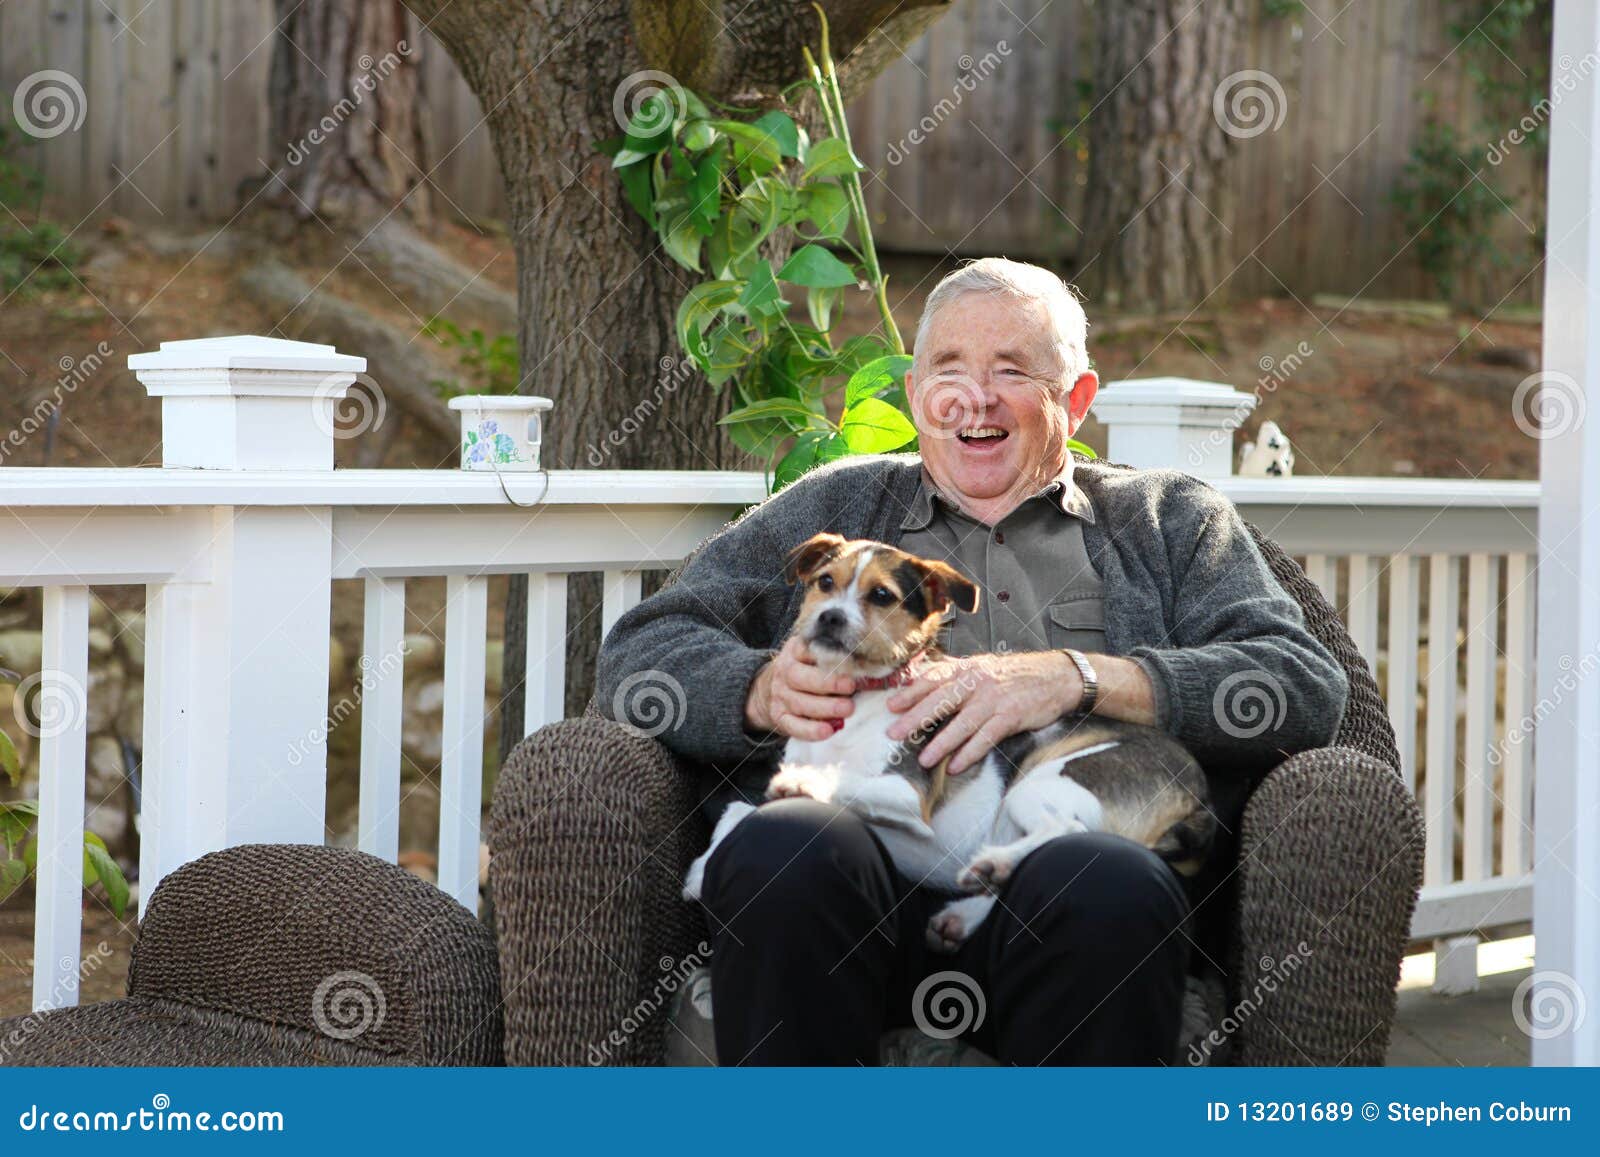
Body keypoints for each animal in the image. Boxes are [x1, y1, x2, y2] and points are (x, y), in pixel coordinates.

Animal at [681, 534, 1216, 947]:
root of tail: (1201, 797)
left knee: (1068, 830)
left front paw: (806, 784)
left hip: (1040, 784)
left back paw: (996, 863)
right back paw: (972, 902)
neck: (858, 695)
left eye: (882, 595)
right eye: (824, 582)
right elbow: (740, 810)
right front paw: (703, 868)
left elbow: (842, 779)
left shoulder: (908, 791)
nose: (830, 617)